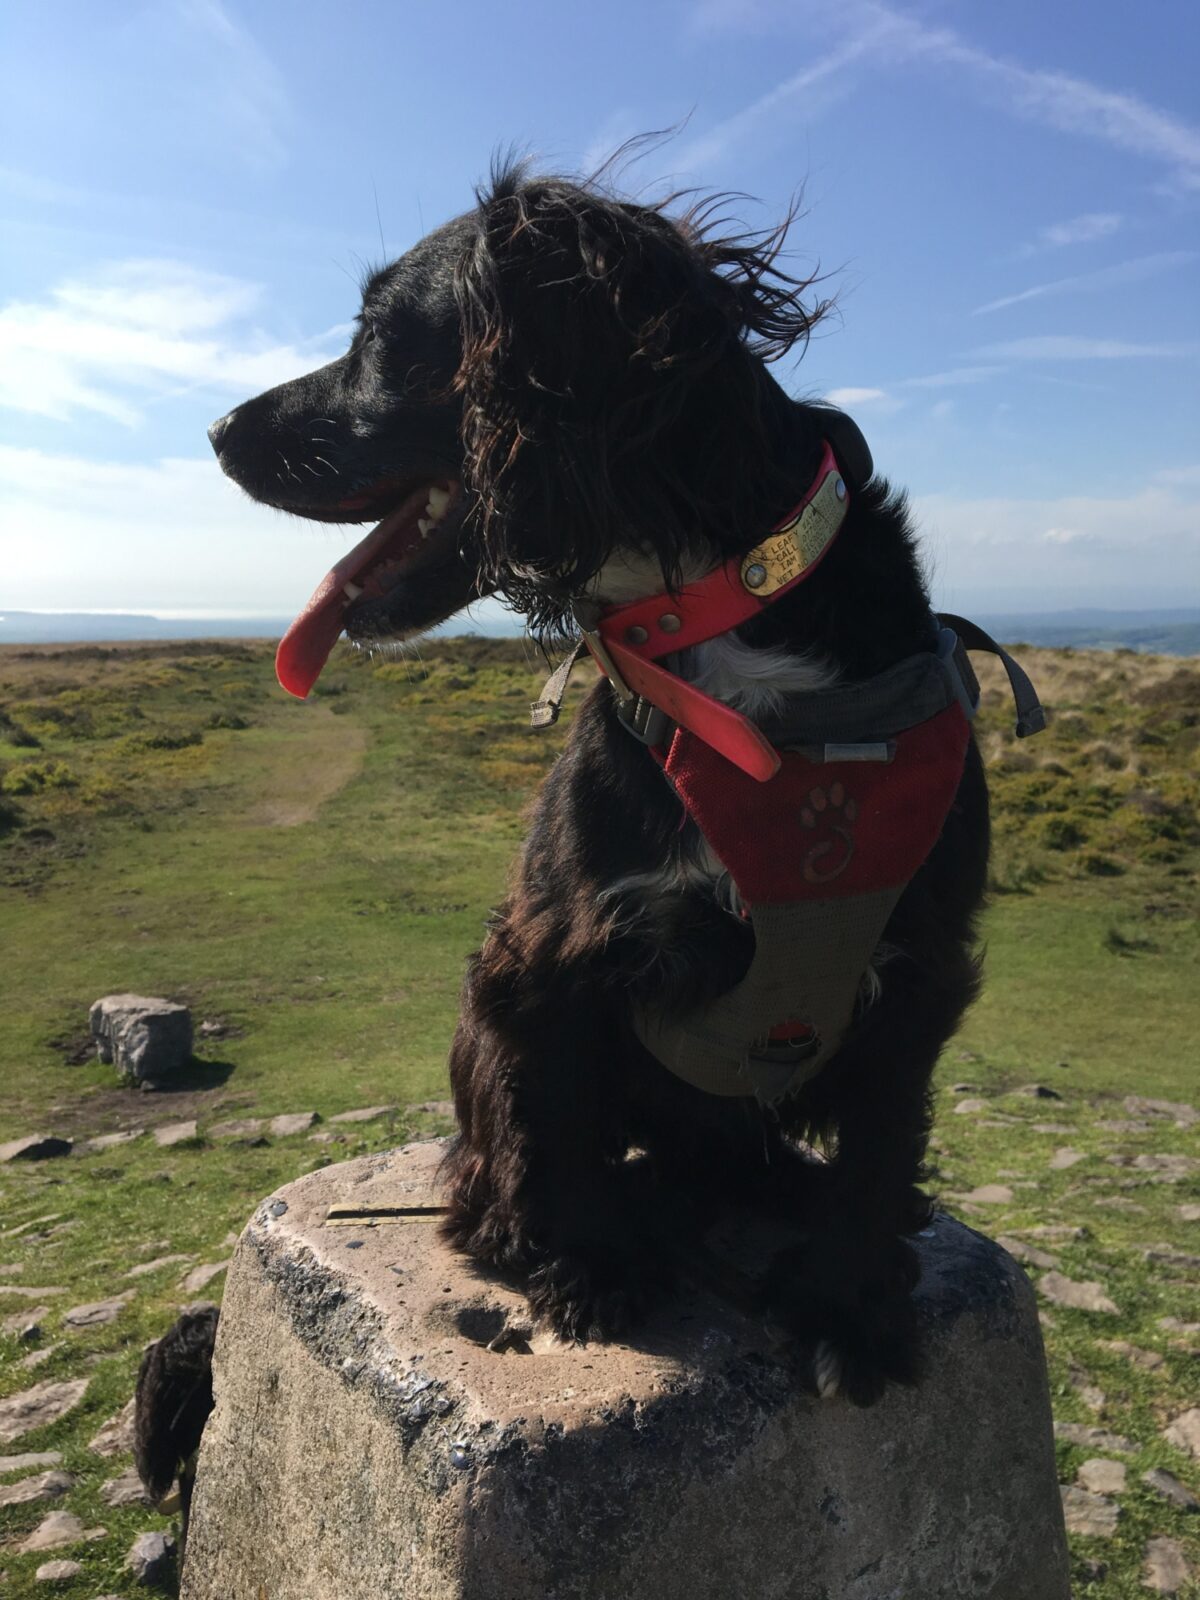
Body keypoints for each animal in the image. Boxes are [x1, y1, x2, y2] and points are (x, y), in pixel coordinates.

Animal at [204, 162, 1004, 1408]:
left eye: (380, 336)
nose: (216, 430)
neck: (725, 624)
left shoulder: (920, 962)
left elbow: (878, 1147)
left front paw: (848, 1306)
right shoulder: (548, 949)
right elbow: (555, 1114)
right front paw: (582, 1265)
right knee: (510, 1153)